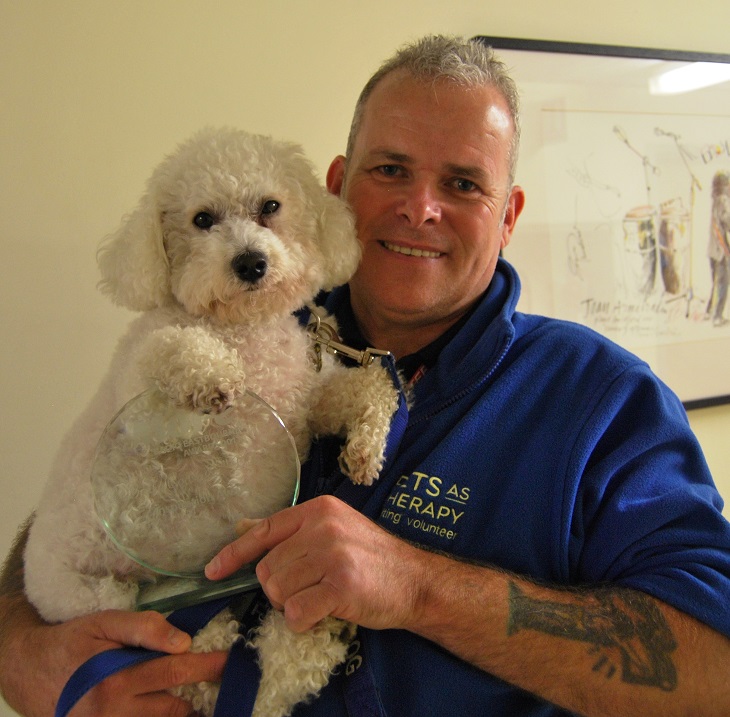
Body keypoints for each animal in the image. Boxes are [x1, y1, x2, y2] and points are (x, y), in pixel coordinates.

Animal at [24, 126, 398, 712]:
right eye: (202, 219)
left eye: (270, 206)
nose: (250, 262)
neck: (243, 330)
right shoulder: (141, 407)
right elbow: (171, 349)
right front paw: (214, 373)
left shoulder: (305, 398)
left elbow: (368, 386)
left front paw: (366, 448)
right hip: (109, 597)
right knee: (205, 665)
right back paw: (289, 648)